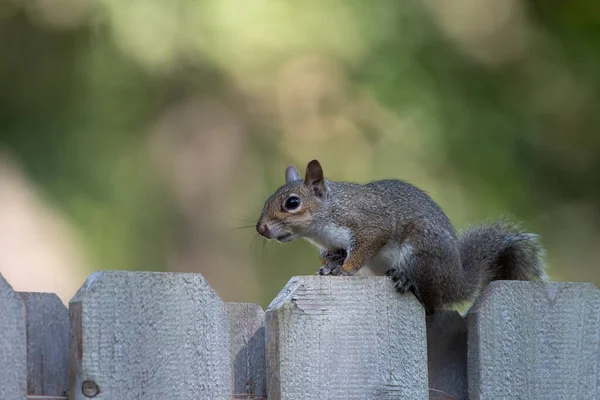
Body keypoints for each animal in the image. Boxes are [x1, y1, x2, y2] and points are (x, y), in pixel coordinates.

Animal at [255, 161, 548, 314]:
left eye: (292, 203)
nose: (261, 229)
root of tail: (456, 283)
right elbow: (334, 255)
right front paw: (329, 265)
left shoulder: (370, 224)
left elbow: (363, 248)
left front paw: (345, 270)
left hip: (421, 248)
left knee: (428, 297)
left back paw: (406, 279)